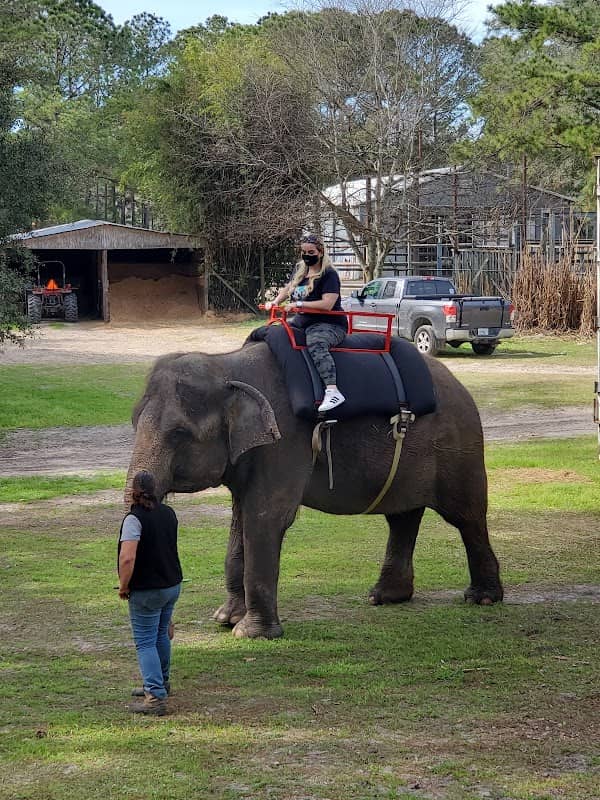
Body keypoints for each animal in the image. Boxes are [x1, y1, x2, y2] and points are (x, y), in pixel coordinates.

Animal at [125, 336, 503, 639]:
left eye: (179, 434)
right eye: (133, 422)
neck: (226, 364)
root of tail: (458, 382)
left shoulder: (285, 441)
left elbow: (265, 518)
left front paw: (249, 634)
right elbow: (240, 520)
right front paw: (224, 619)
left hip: (458, 447)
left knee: (466, 516)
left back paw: (481, 598)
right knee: (402, 517)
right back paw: (384, 597)